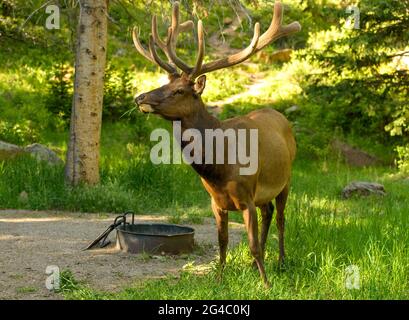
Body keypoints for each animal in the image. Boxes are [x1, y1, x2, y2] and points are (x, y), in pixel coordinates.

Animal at [133, 1, 300, 286]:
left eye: (179, 90)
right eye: (164, 83)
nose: (140, 97)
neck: (219, 167)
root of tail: (280, 116)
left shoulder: (247, 197)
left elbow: (251, 245)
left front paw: (266, 284)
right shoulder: (216, 201)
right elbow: (222, 243)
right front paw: (220, 279)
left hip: (286, 180)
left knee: (280, 218)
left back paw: (280, 261)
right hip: (264, 193)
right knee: (268, 213)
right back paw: (258, 266)